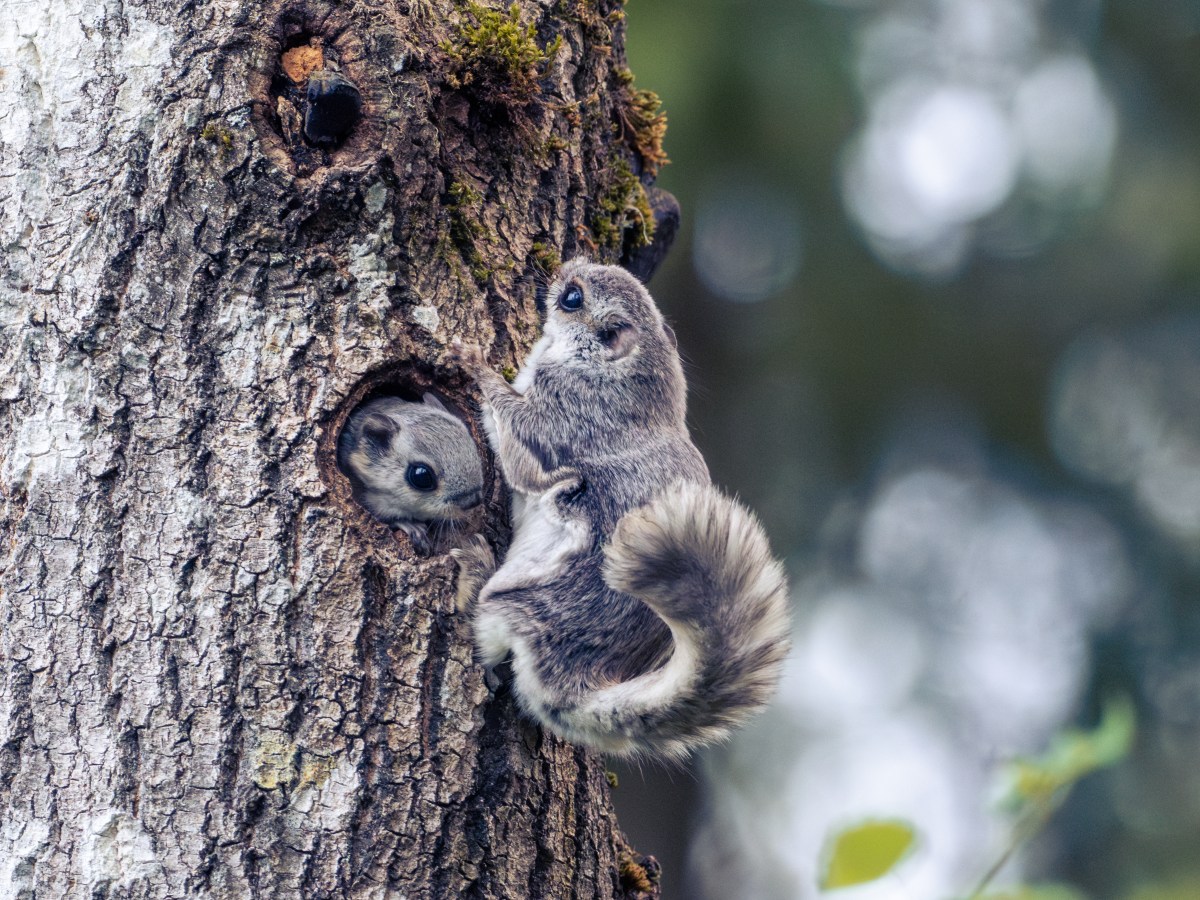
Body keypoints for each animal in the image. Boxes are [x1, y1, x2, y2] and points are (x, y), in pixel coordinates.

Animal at [451, 259, 790, 760]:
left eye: (573, 298)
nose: (562, 267)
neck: (618, 373)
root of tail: (571, 685)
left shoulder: (562, 419)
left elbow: (521, 454)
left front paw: (475, 366)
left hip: (517, 605)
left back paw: (474, 568)